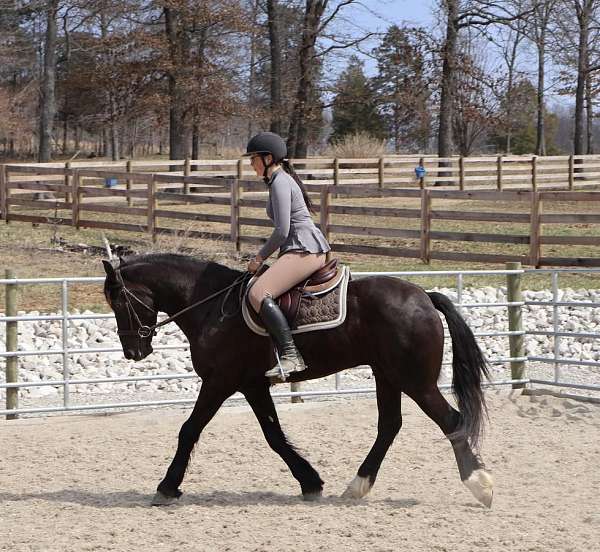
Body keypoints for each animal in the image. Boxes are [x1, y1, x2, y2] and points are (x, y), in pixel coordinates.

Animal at [103, 252, 494, 506]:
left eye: (119, 300)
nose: (133, 351)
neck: (211, 305)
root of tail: (424, 296)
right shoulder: (251, 384)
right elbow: (274, 435)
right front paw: (310, 481)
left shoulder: (220, 380)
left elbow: (189, 429)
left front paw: (167, 487)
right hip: (387, 375)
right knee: (389, 426)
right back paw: (357, 486)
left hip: (415, 381)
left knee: (451, 420)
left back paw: (480, 485)